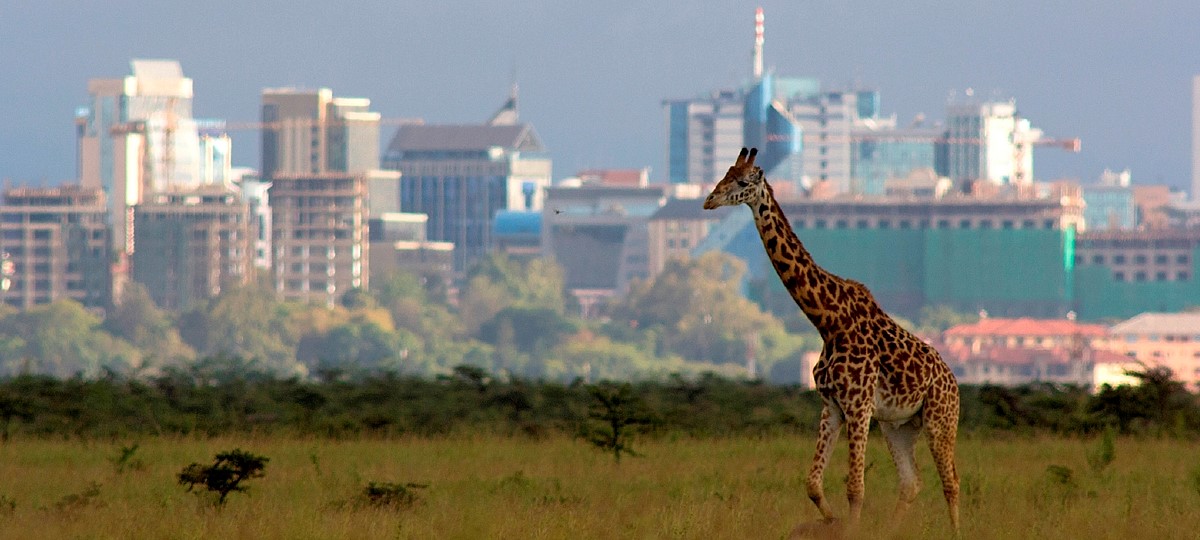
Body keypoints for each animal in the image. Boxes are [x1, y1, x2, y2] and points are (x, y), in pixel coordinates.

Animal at [700, 146, 960, 530]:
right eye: (725, 174)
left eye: (743, 181)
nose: (709, 200)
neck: (828, 322)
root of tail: (954, 382)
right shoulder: (832, 407)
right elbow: (813, 484)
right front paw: (832, 521)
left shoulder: (859, 405)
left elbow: (855, 488)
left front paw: (848, 527)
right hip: (898, 426)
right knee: (911, 483)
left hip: (940, 419)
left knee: (951, 482)